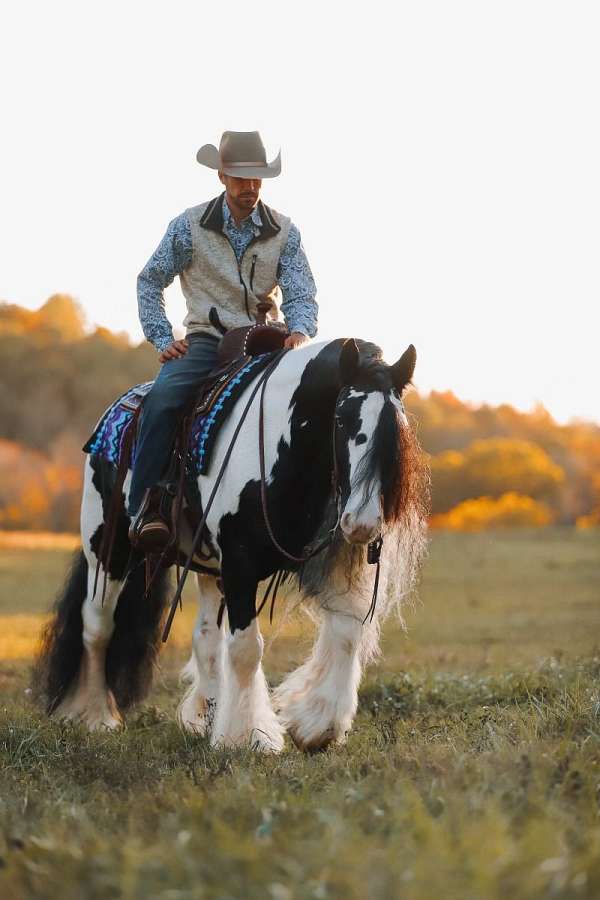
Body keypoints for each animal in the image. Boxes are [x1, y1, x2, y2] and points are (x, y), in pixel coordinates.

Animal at [37, 338, 428, 752]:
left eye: (396, 429)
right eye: (342, 420)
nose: (363, 522)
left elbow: (346, 636)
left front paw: (317, 726)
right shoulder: (240, 566)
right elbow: (245, 650)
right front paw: (247, 736)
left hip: (207, 566)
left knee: (205, 638)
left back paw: (205, 716)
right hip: (106, 551)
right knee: (97, 627)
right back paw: (97, 716)